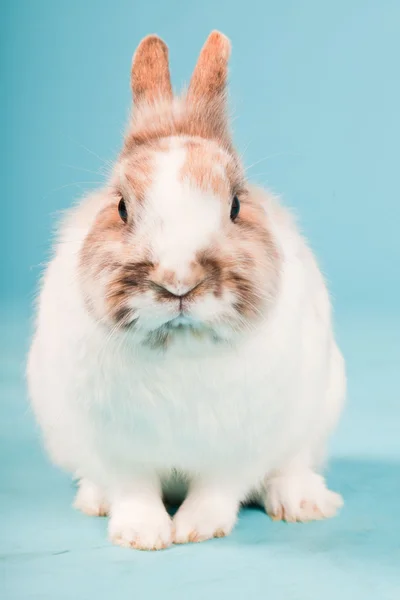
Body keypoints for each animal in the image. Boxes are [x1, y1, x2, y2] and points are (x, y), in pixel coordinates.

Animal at [26, 31, 346, 548]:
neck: (180, 347)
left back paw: (302, 504)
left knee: (289, 468)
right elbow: (134, 491)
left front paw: (197, 529)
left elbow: (217, 490)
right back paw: (94, 500)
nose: (178, 280)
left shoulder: (237, 450)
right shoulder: (118, 451)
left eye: (235, 205)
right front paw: (143, 535)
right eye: (121, 207)